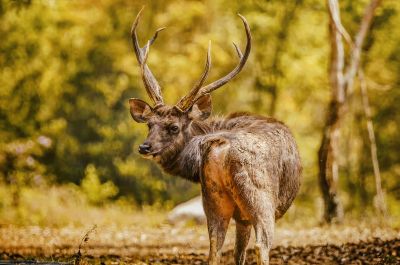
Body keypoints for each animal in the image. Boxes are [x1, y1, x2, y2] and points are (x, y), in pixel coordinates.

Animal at [127, 7, 300, 262]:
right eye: (150, 124)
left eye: (173, 127)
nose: (144, 147)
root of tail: (221, 145)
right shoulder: (246, 215)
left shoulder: (235, 213)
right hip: (260, 199)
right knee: (262, 245)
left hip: (213, 199)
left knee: (213, 250)